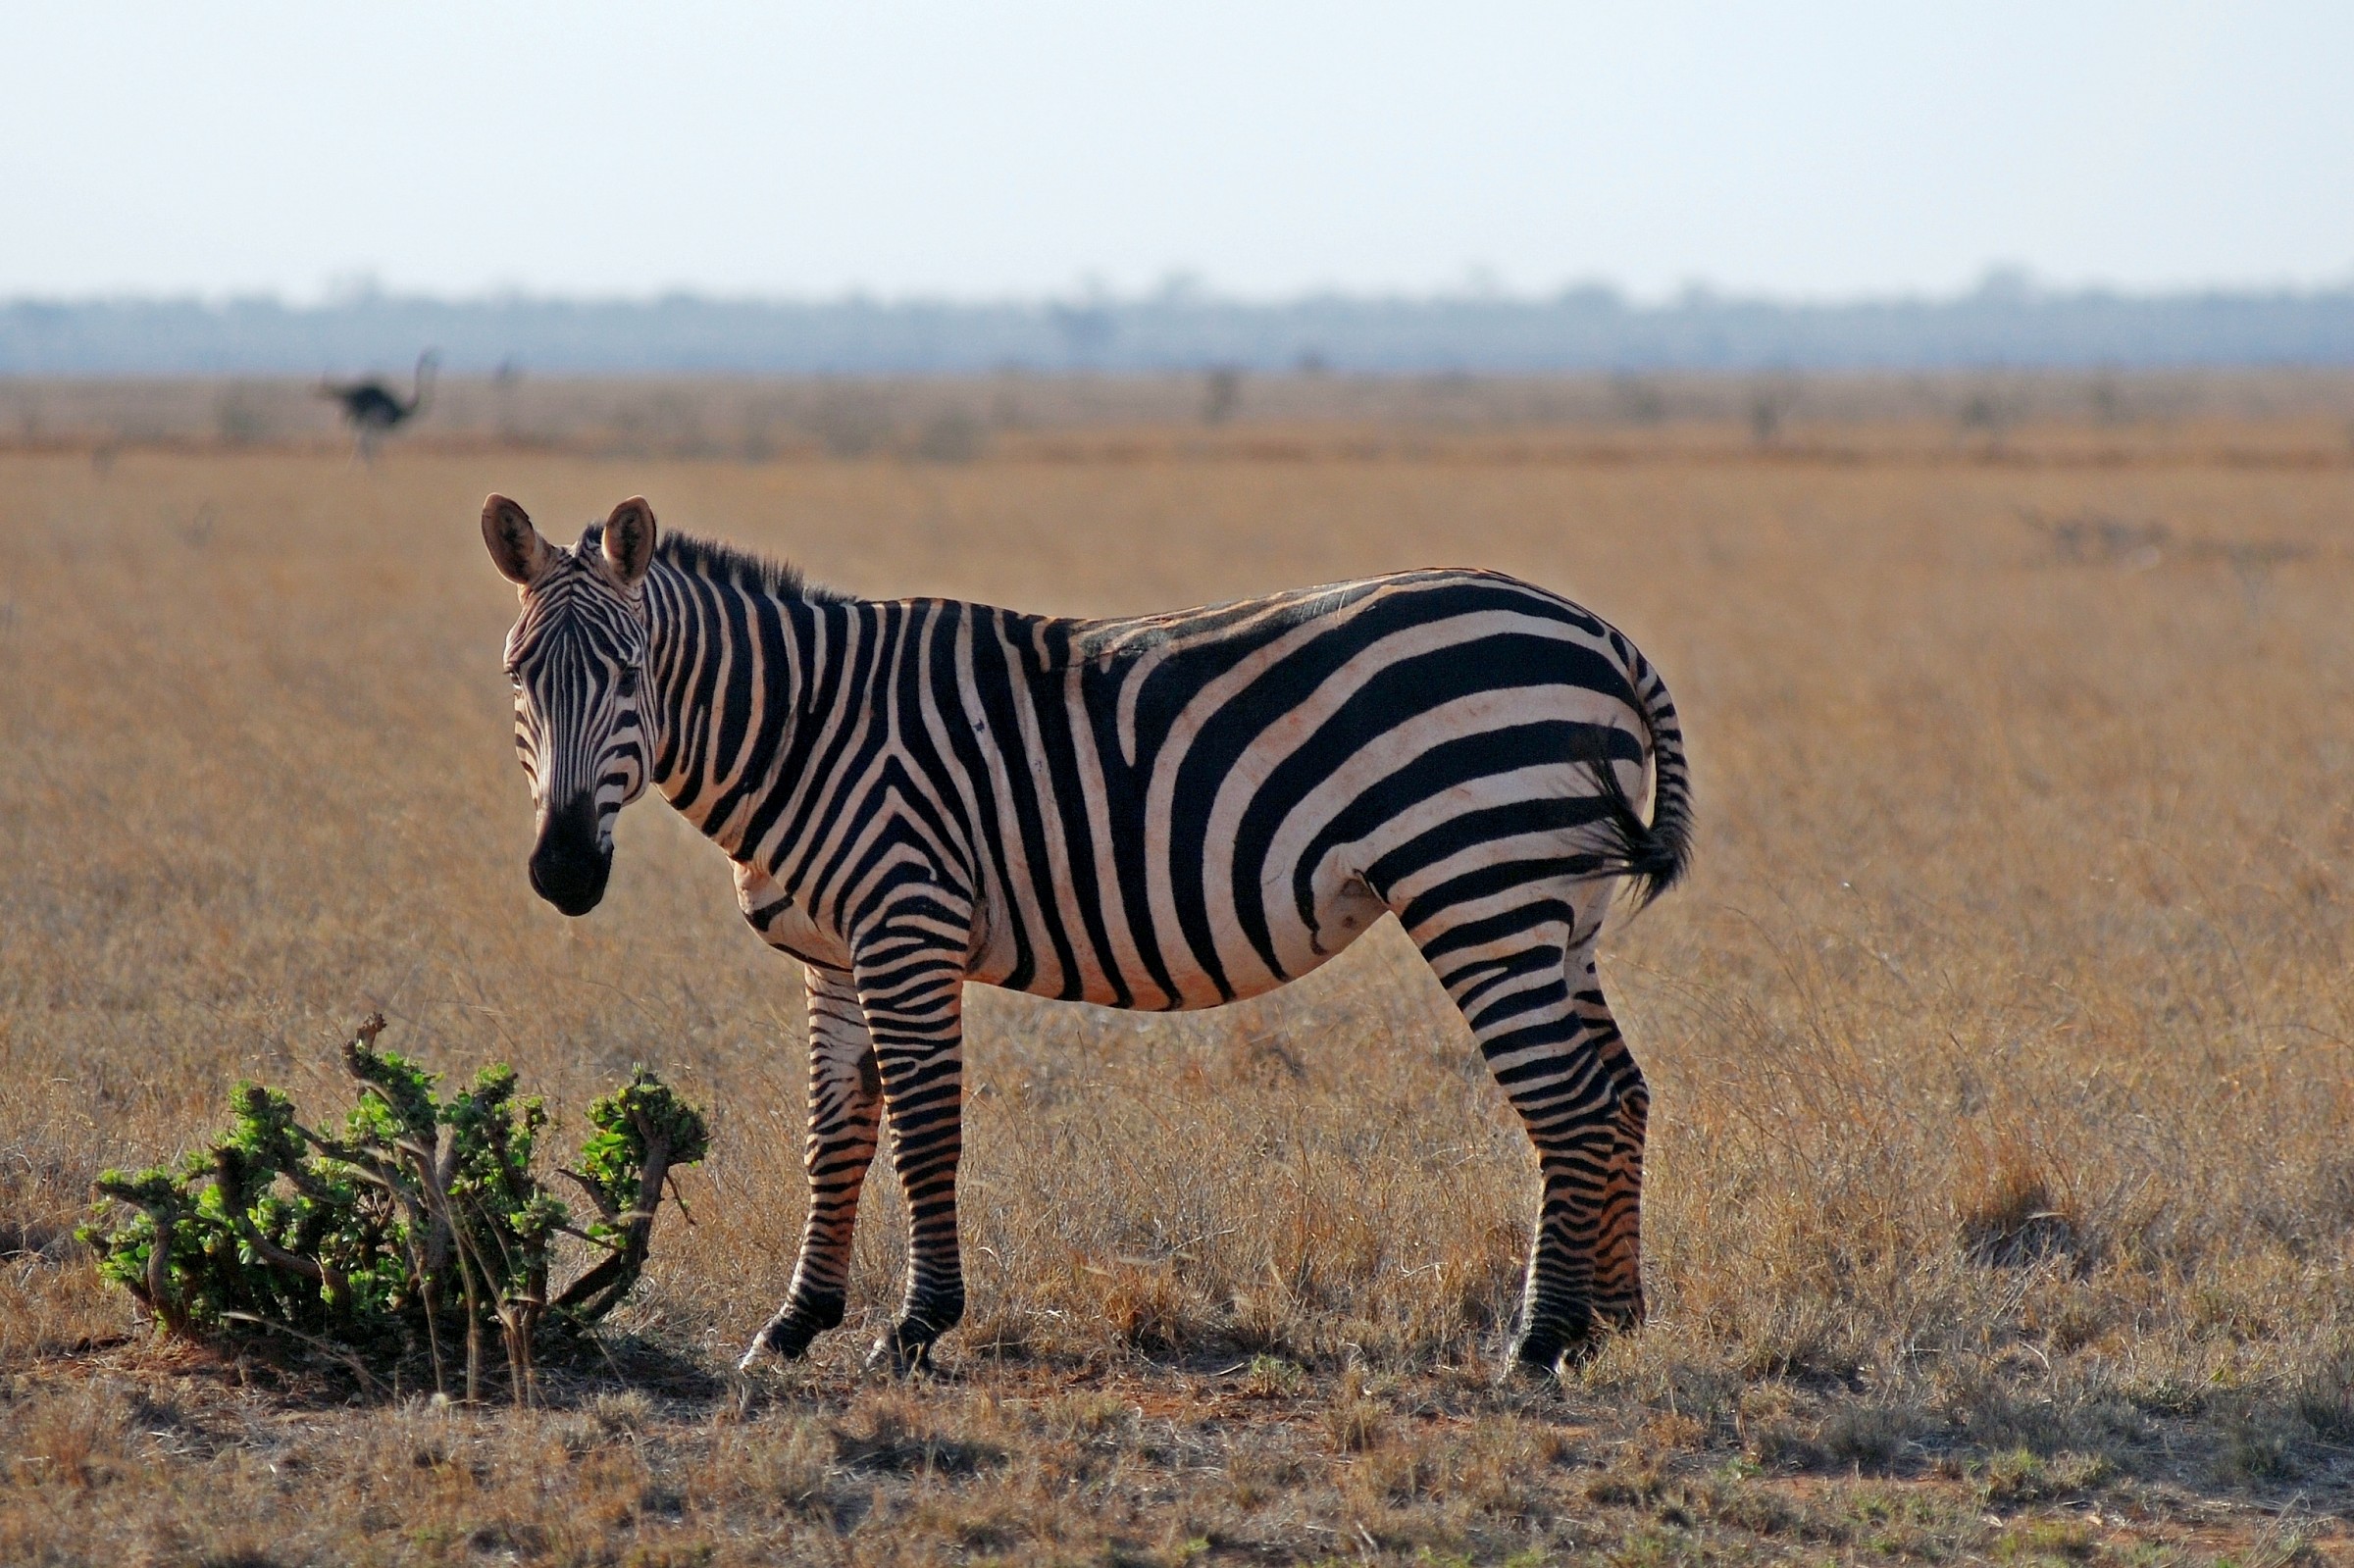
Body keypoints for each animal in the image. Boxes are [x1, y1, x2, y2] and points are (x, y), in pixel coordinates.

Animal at [481, 493, 1692, 1378]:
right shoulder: (832, 956)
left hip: (1480, 883)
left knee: (1569, 1103)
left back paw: (1539, 1341)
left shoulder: (907, 923)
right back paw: (1615, 1323)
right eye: (516, 677)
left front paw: (914, 1328)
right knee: (1620, 1092)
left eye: (630, 672)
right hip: (1559, 906)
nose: (563, 872)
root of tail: (1602, 634)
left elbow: (924, 1134)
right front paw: (792, 1325)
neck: (805, 730)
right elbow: (835, 1138)